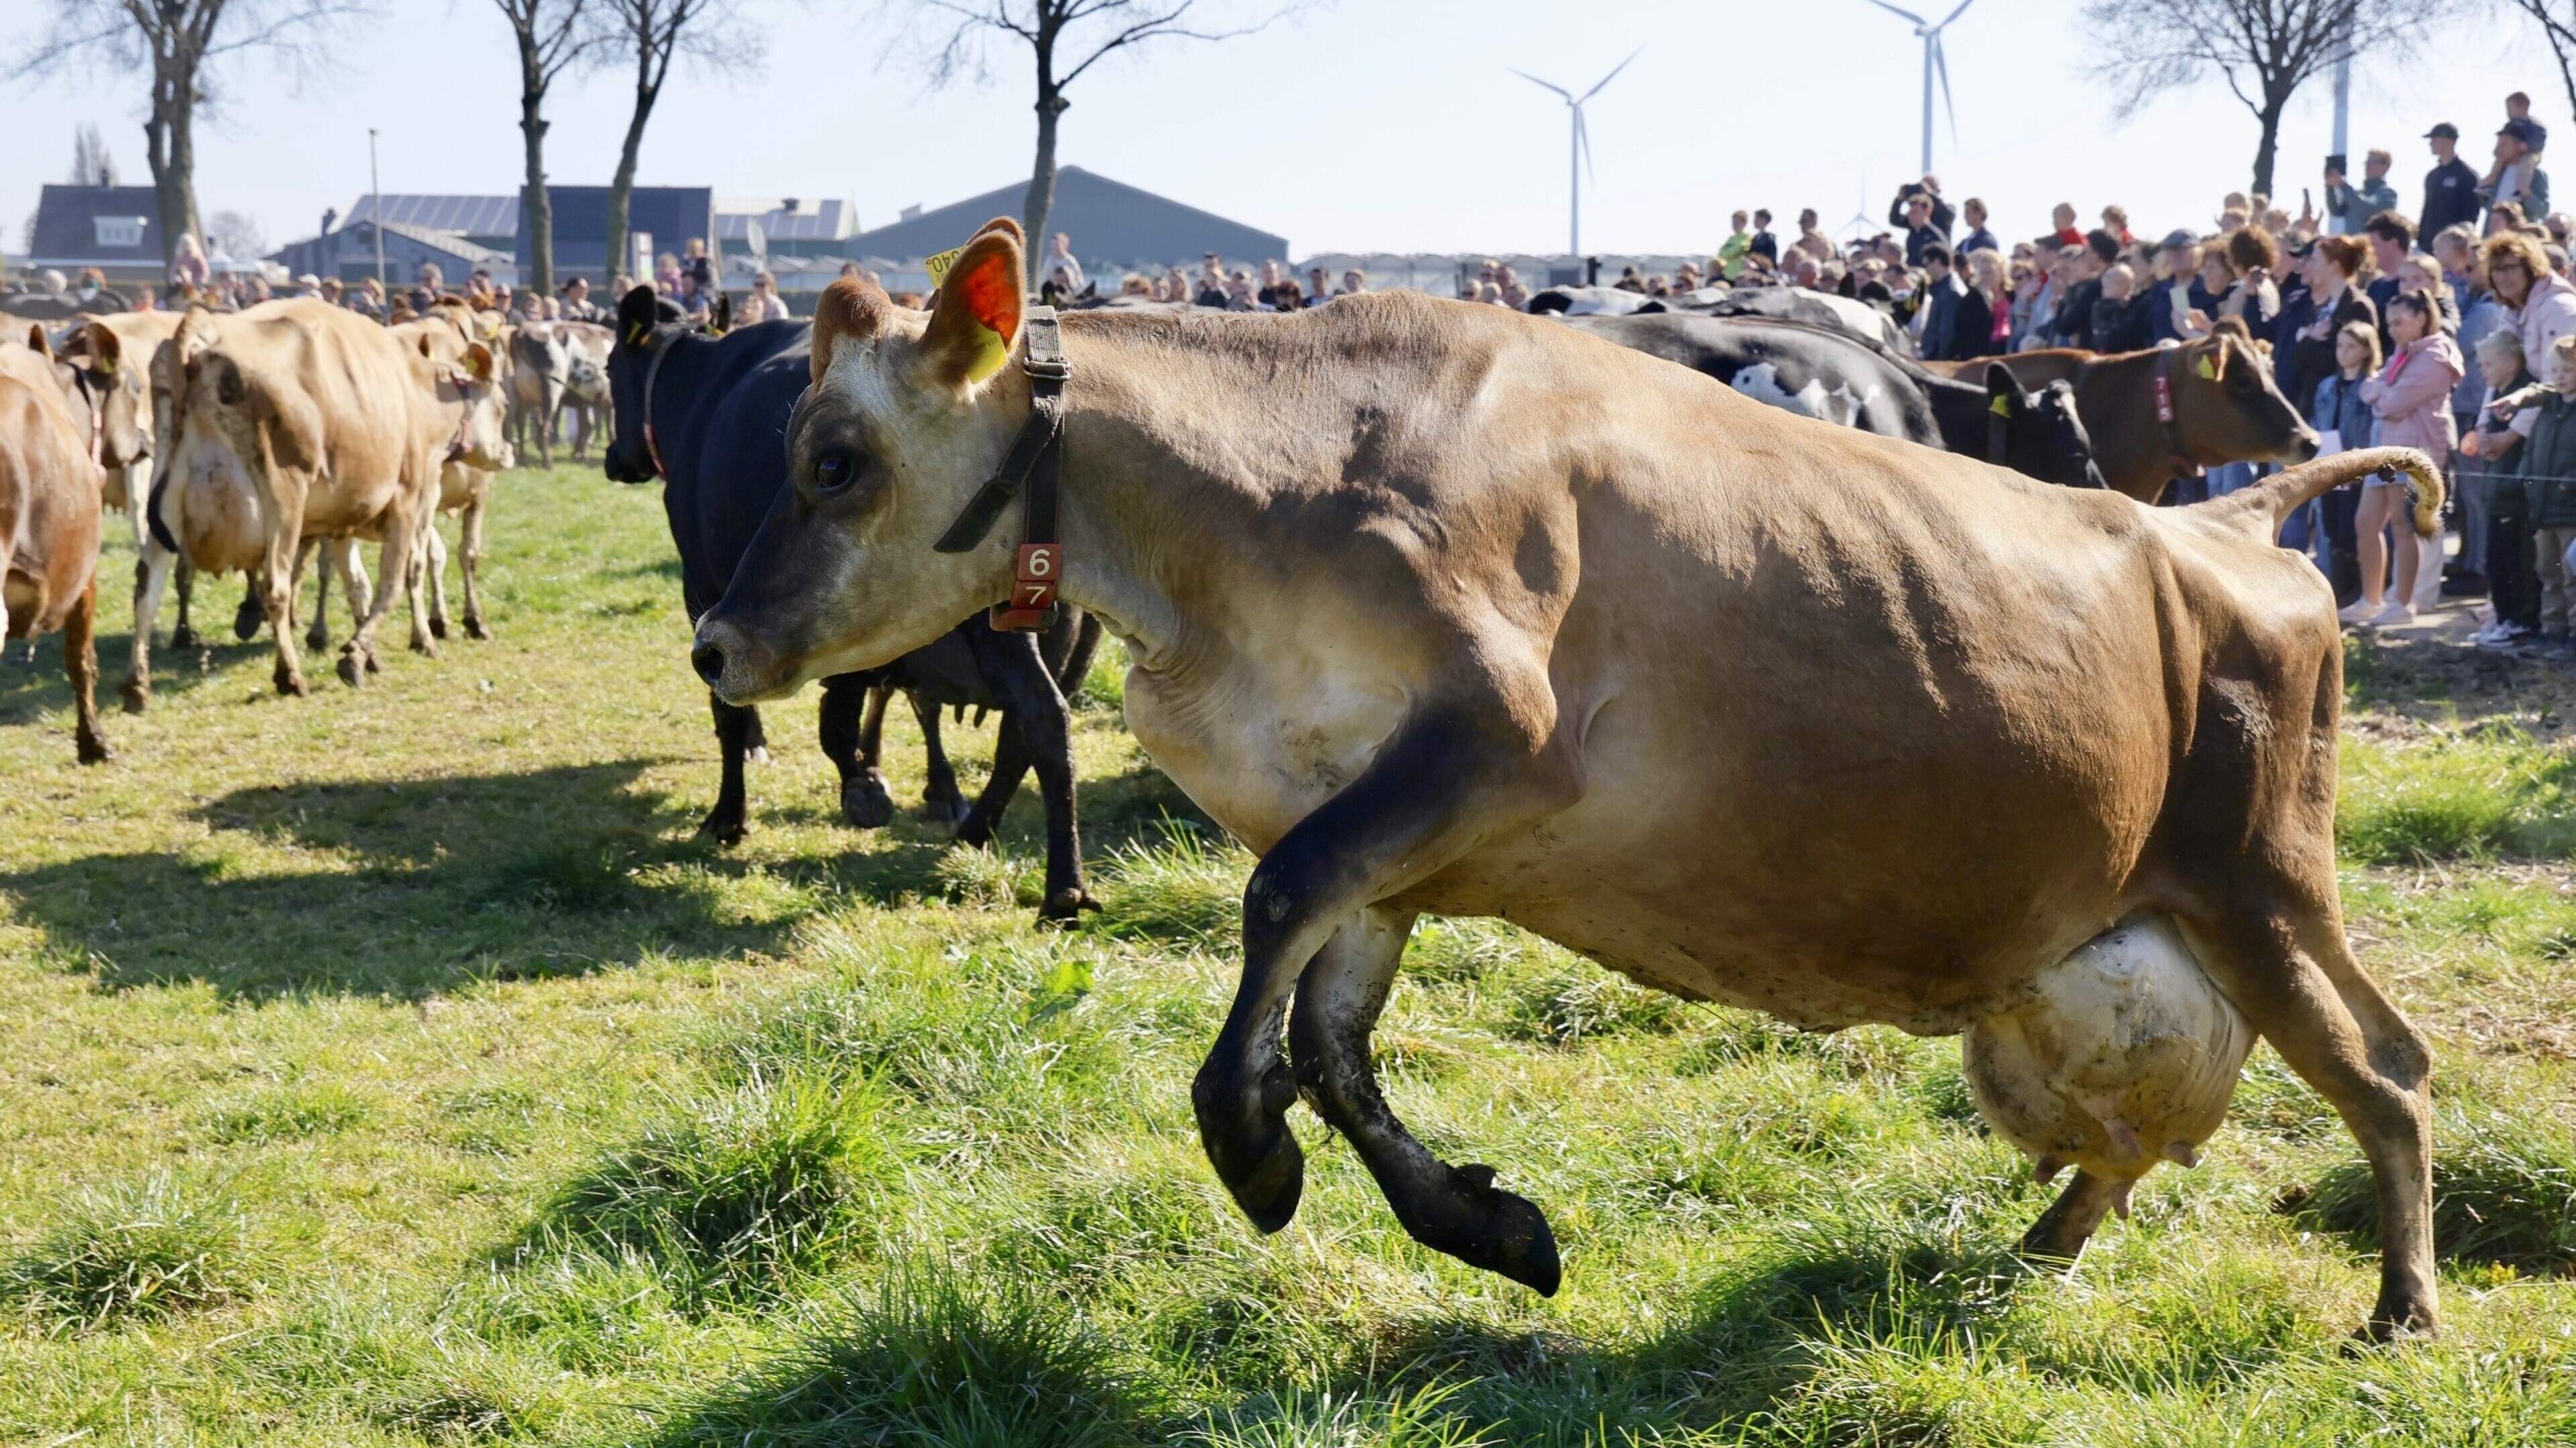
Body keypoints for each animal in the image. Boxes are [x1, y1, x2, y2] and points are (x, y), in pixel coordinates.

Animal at [133, 299, 511, 701]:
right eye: (503, 403)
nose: (507, 452)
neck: (419, 390)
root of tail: (204, 332)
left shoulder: (344, 518)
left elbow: (357, 583)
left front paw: (368, 651)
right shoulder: (412, 500)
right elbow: (401, 577)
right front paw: (387, 647)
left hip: (166, 506)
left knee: (147, 587)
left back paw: (137, 685)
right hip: (283, 504)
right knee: (275, 587)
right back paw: (290, 675)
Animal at [602, 285, 1101, 921]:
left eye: (608, 368)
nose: (614, 458)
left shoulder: (705, 587)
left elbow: (736, 713)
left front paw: (729, 815)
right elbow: (862, 705)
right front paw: (887, 780)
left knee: (1040, 717)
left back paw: (1057, 880)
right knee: (1025, 729)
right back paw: (979, 832)